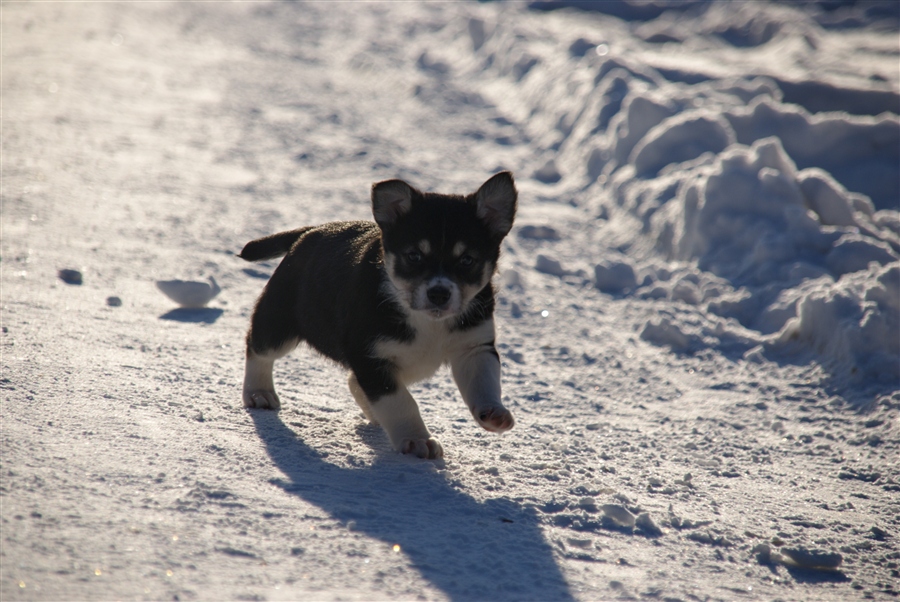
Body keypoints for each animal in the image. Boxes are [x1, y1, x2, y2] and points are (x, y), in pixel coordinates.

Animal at [239, 171, 516, 458]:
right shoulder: (370, 357)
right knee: (256, 347)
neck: (428, 322)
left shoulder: (474, 347)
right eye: (414, 256)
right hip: (278, 325)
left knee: (354, 381)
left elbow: (483, 384)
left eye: (467, 260)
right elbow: (401, 401)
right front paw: (417, 439)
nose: (439, 294)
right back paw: (259, 393)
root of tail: (311, 231)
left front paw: (493, 413)